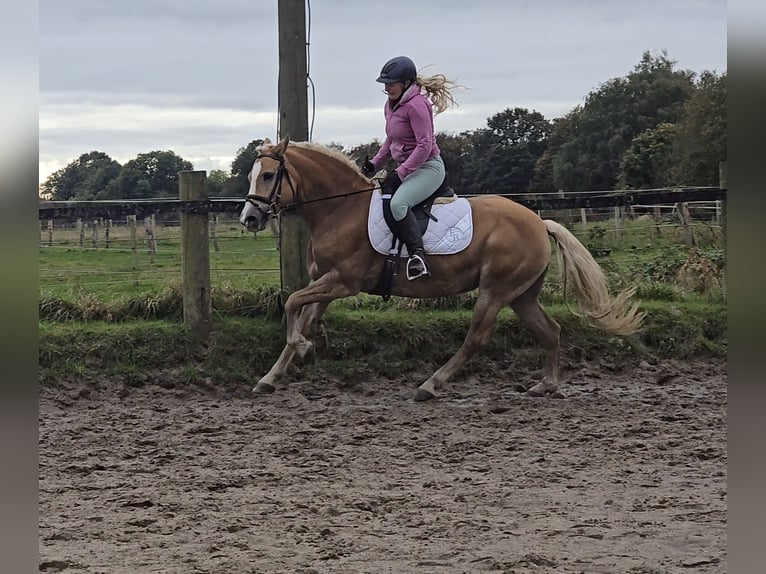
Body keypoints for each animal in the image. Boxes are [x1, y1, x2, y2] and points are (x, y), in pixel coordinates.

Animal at [240, 137, 648, 402]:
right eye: (251, 175)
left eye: (269, 176)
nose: (249, 219)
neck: (340, 209)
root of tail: (538, 221)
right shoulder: (324, 282)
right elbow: (302, 315)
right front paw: (272, 376)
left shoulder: (343, 281)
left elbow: (292, 303)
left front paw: (303, 350)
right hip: (522, 295)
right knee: (550, 331)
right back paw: (546, 385)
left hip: (495, 291)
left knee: (476, 339)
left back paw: (431, 385)